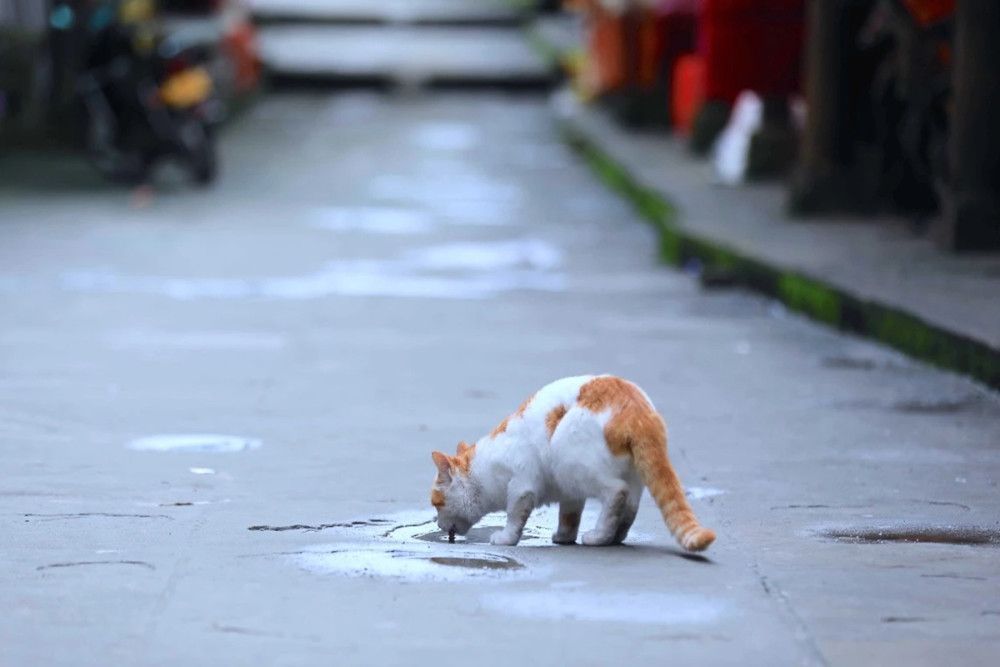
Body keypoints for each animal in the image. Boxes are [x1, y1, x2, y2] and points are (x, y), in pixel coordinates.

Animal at [434, 376, 716, 552]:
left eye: (436, 504)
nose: (436, 524)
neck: (483, 468)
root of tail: (639, 413)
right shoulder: (569, 493)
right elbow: (569, 516)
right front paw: (564, 537)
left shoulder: (522, 485)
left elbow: (515, 516)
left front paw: (505, 539)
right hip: (625, 475)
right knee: (630, 508)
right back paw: (615, 537)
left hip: (571, 461)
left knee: (617, 492)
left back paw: (598, 537)